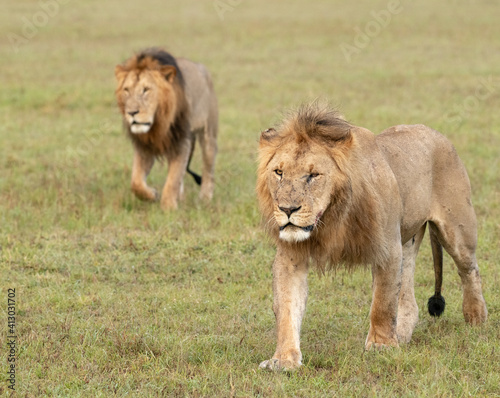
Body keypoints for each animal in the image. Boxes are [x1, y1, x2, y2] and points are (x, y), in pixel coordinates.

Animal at [114, 48, 218, 210]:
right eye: (126, 90)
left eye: (146, 90)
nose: (131, 112)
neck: (158, 122)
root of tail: (202, 68)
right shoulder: (144, 147)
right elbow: (136, 182)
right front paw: (153, 195)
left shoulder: (181, 141)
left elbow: (173, 179)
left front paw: (169, 208)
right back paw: (181, 197)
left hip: (208, 135)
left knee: (208, 169)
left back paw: (205, 198)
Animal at [258, 102, 488, 370]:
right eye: (279, 172)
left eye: (313, 175)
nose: (287, 209)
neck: (332, 217)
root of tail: (434, 132)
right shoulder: (290, 257)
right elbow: (286, 308)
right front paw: (283, 360)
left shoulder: (388, 249)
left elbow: (382, 303)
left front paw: (381, 346)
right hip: (407, 240)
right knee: (408, 298)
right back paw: (402, 335)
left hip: (457, 230)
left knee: (469, 270)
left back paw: (476, 318)